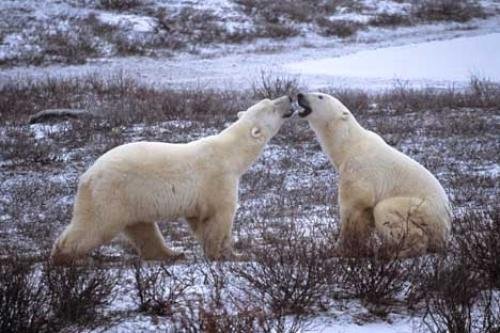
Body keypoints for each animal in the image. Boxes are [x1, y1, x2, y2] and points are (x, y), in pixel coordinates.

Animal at [50, 95, 292, 262]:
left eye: (269, 100)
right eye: (272, 106)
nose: (289, 98)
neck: (230, 152)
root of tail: (87, 175)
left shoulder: (199, 198)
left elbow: (199, 221)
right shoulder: (218, 179)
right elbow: (219, 218)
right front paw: (228, 254)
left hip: (133, 200)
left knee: (143, 229)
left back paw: (173, 254)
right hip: (112, 194)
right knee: (94, 226)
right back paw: (64, 256)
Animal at [294, 92, 452, 258]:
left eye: (320, 96)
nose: (299, 94)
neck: (348, 145)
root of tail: (446, 229)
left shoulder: (358, 169)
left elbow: (353, 204)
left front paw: (338, 248)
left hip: (422, 210)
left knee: (385, 209)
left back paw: (397, 251)